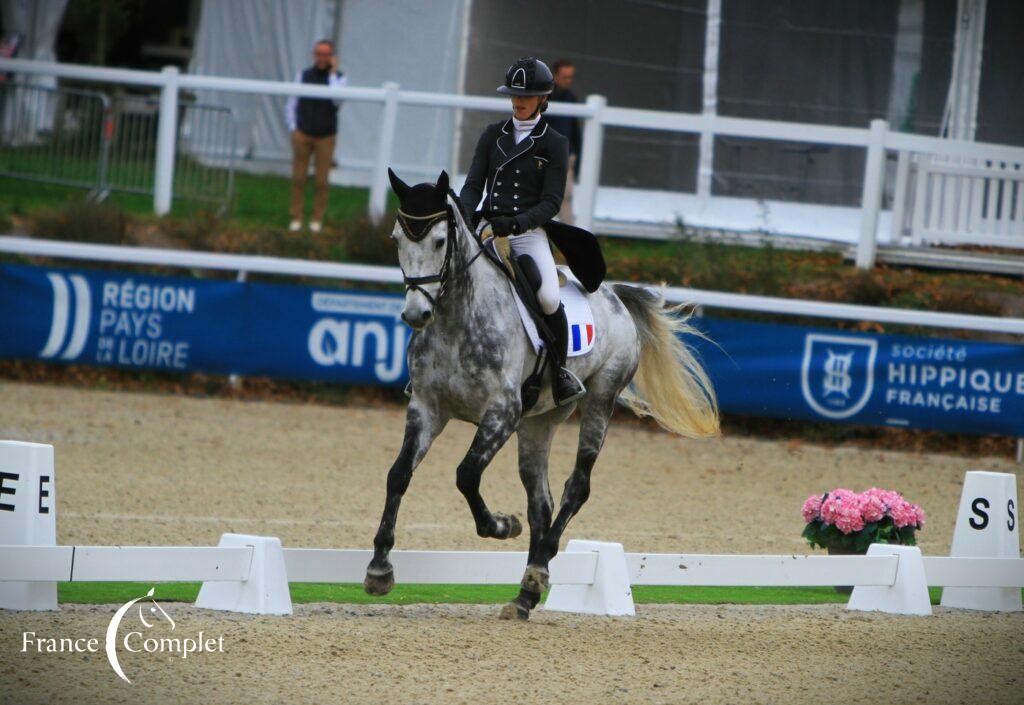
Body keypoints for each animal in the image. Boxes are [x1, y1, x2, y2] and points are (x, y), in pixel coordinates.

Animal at [364, 169, 716, 614]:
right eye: (396, 239)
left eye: (440, 241)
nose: (415, 314)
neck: (456, 319)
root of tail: (614, 294)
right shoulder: (428, 407)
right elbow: (398, 475)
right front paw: (379, 569)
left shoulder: (502, 412)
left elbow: (466, 475)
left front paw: (500, 524)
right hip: (538, 422)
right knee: (541, 502)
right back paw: (525, 594)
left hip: (600, 400)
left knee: (576, 488)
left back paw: (539, 568)